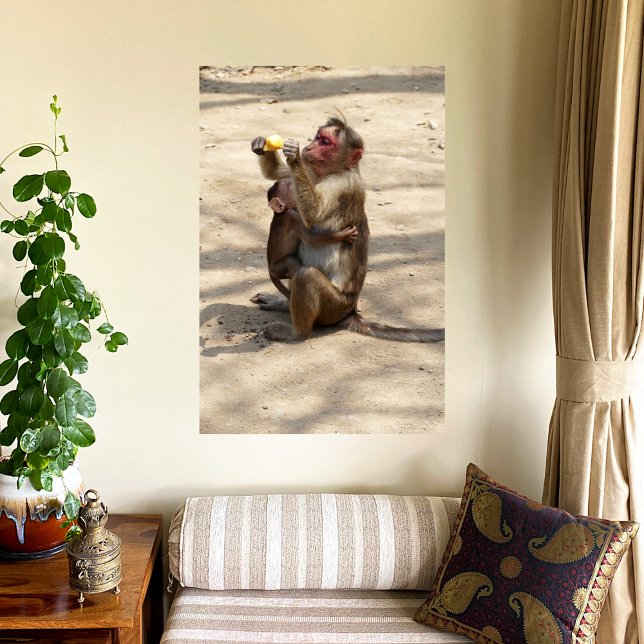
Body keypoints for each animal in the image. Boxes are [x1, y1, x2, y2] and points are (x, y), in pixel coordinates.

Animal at [251, 114, 445, 343]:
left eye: (325, 142)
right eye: (318, 137)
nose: (308, 147)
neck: (332, 171)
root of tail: (350, 311)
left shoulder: (342, 185)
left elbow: (314, 215)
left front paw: (294, 157)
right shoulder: (311, 169)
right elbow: (277, 173)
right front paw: (260, 144)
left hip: (333, 307)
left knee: (306, 275)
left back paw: (296, 332)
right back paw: (283, 304)